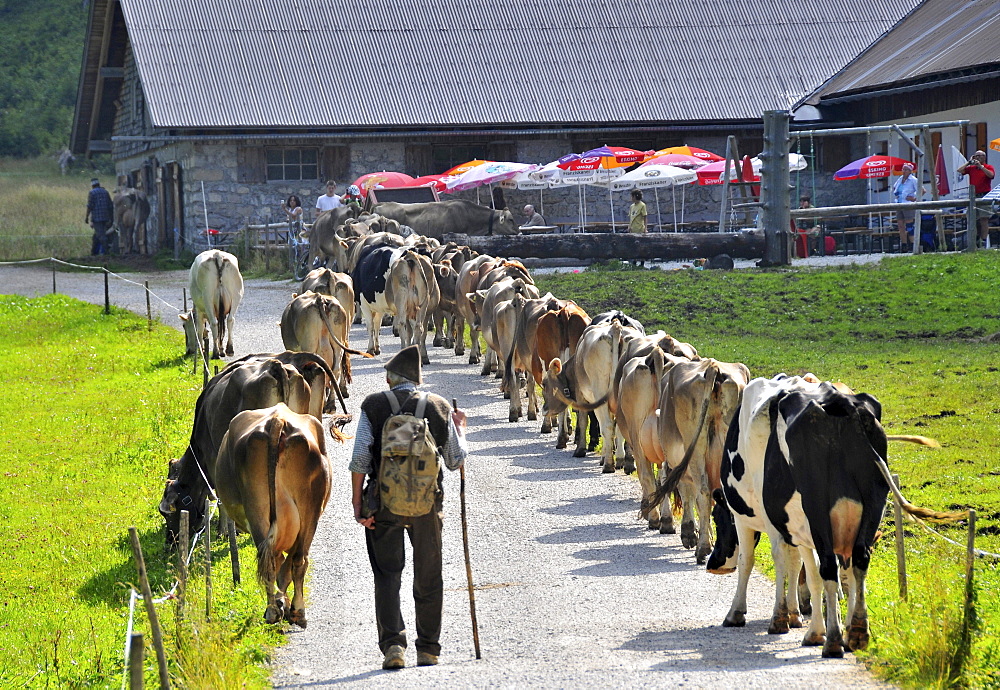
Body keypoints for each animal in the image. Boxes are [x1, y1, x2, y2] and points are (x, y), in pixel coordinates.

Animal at [158, 352, 334, 544]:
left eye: (167, 514)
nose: (170, 542)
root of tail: (276, 365)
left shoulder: (214, 459)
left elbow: (221, 497)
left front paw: (225, 532)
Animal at [215, 404, 332, 628]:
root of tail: (278, 420)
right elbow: (284, 569)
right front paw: (283, 603)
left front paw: (281, 602)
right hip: (307, 511)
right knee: (297, 560)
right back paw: (296, 611)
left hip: (259, 508)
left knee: (274, 561)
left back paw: (274, 611)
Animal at [544, 320, 644, 464]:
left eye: (544, 384)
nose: (544, 410)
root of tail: (615, 328)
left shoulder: (582, 396)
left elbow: (583, 420)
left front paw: (581, 450)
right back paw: (626, 460)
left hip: (599, 391)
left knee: (607, 425)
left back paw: (609, 464)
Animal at [712, 376, 960, 656]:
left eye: (717, 518)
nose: (713, 564)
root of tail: (840, 402)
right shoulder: (795, 525)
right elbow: (802, 566)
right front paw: (800, 616)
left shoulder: (757, 518)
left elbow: (762, 561)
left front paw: (757, 615)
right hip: (872, 503)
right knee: (858, 560)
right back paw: (856, 632)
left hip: (816, 508)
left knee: (829, 566)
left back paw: (831, 639)